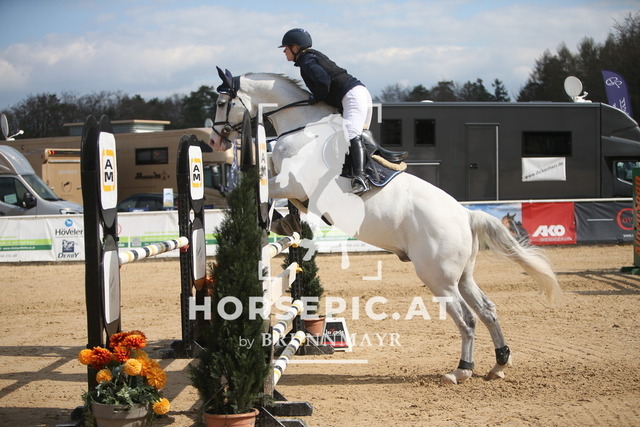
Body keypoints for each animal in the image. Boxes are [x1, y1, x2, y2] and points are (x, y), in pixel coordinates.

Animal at [209, 69, 562, 384]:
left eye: (221, 101)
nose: (214, 140)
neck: (301, 129)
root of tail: (465, 215)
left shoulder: (289, 181)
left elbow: (263, 184)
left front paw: (267, 214)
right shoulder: (290, 184)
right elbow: (273, 186)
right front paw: (283, 220)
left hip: (438, 278)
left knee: (467, 319)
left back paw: (461, 370)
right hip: (461, 276)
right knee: (487, 310)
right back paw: (499, 363)